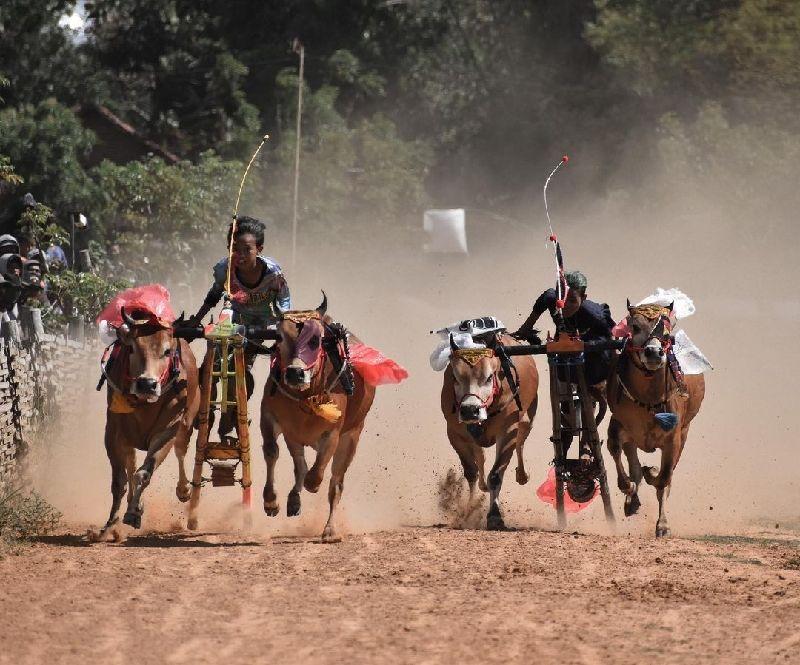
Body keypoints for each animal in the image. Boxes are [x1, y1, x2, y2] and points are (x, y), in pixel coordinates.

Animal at [260, 294, 376, 544]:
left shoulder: (334, 433)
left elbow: (316, 476)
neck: (306, 395)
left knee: (335, 484)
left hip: (351, 438)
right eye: (280, 337)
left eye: (316, 340)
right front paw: (271, 501)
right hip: (294, 438)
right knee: (300, 467)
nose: (295, 373)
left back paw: (330, 530)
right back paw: (293, 501)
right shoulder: (271, 417)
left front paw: (311, 489)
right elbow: (273, 452)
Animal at [440, 332, 540, 528]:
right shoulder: (454, 433)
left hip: (528, 418)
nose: (470, 410)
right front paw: (469, 511)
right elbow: (471, 471)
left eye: (488, 378)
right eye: (455, 377)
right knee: (480, 457)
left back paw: (522, 475)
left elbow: (495, 474)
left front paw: (494, 516)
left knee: (520, 443)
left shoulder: (508, 430)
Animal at [608, 300, 704, 536]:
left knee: (665, 479)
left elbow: (663, 479)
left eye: (666, 332)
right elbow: (621, 461)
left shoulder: (674, 439)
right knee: (634, 468)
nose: (653, 352)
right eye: (635, 326)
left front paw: (662, 524)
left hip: (684, 433)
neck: (648, 398)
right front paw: (631, 492)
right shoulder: (619, 426)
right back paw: (632, 500)